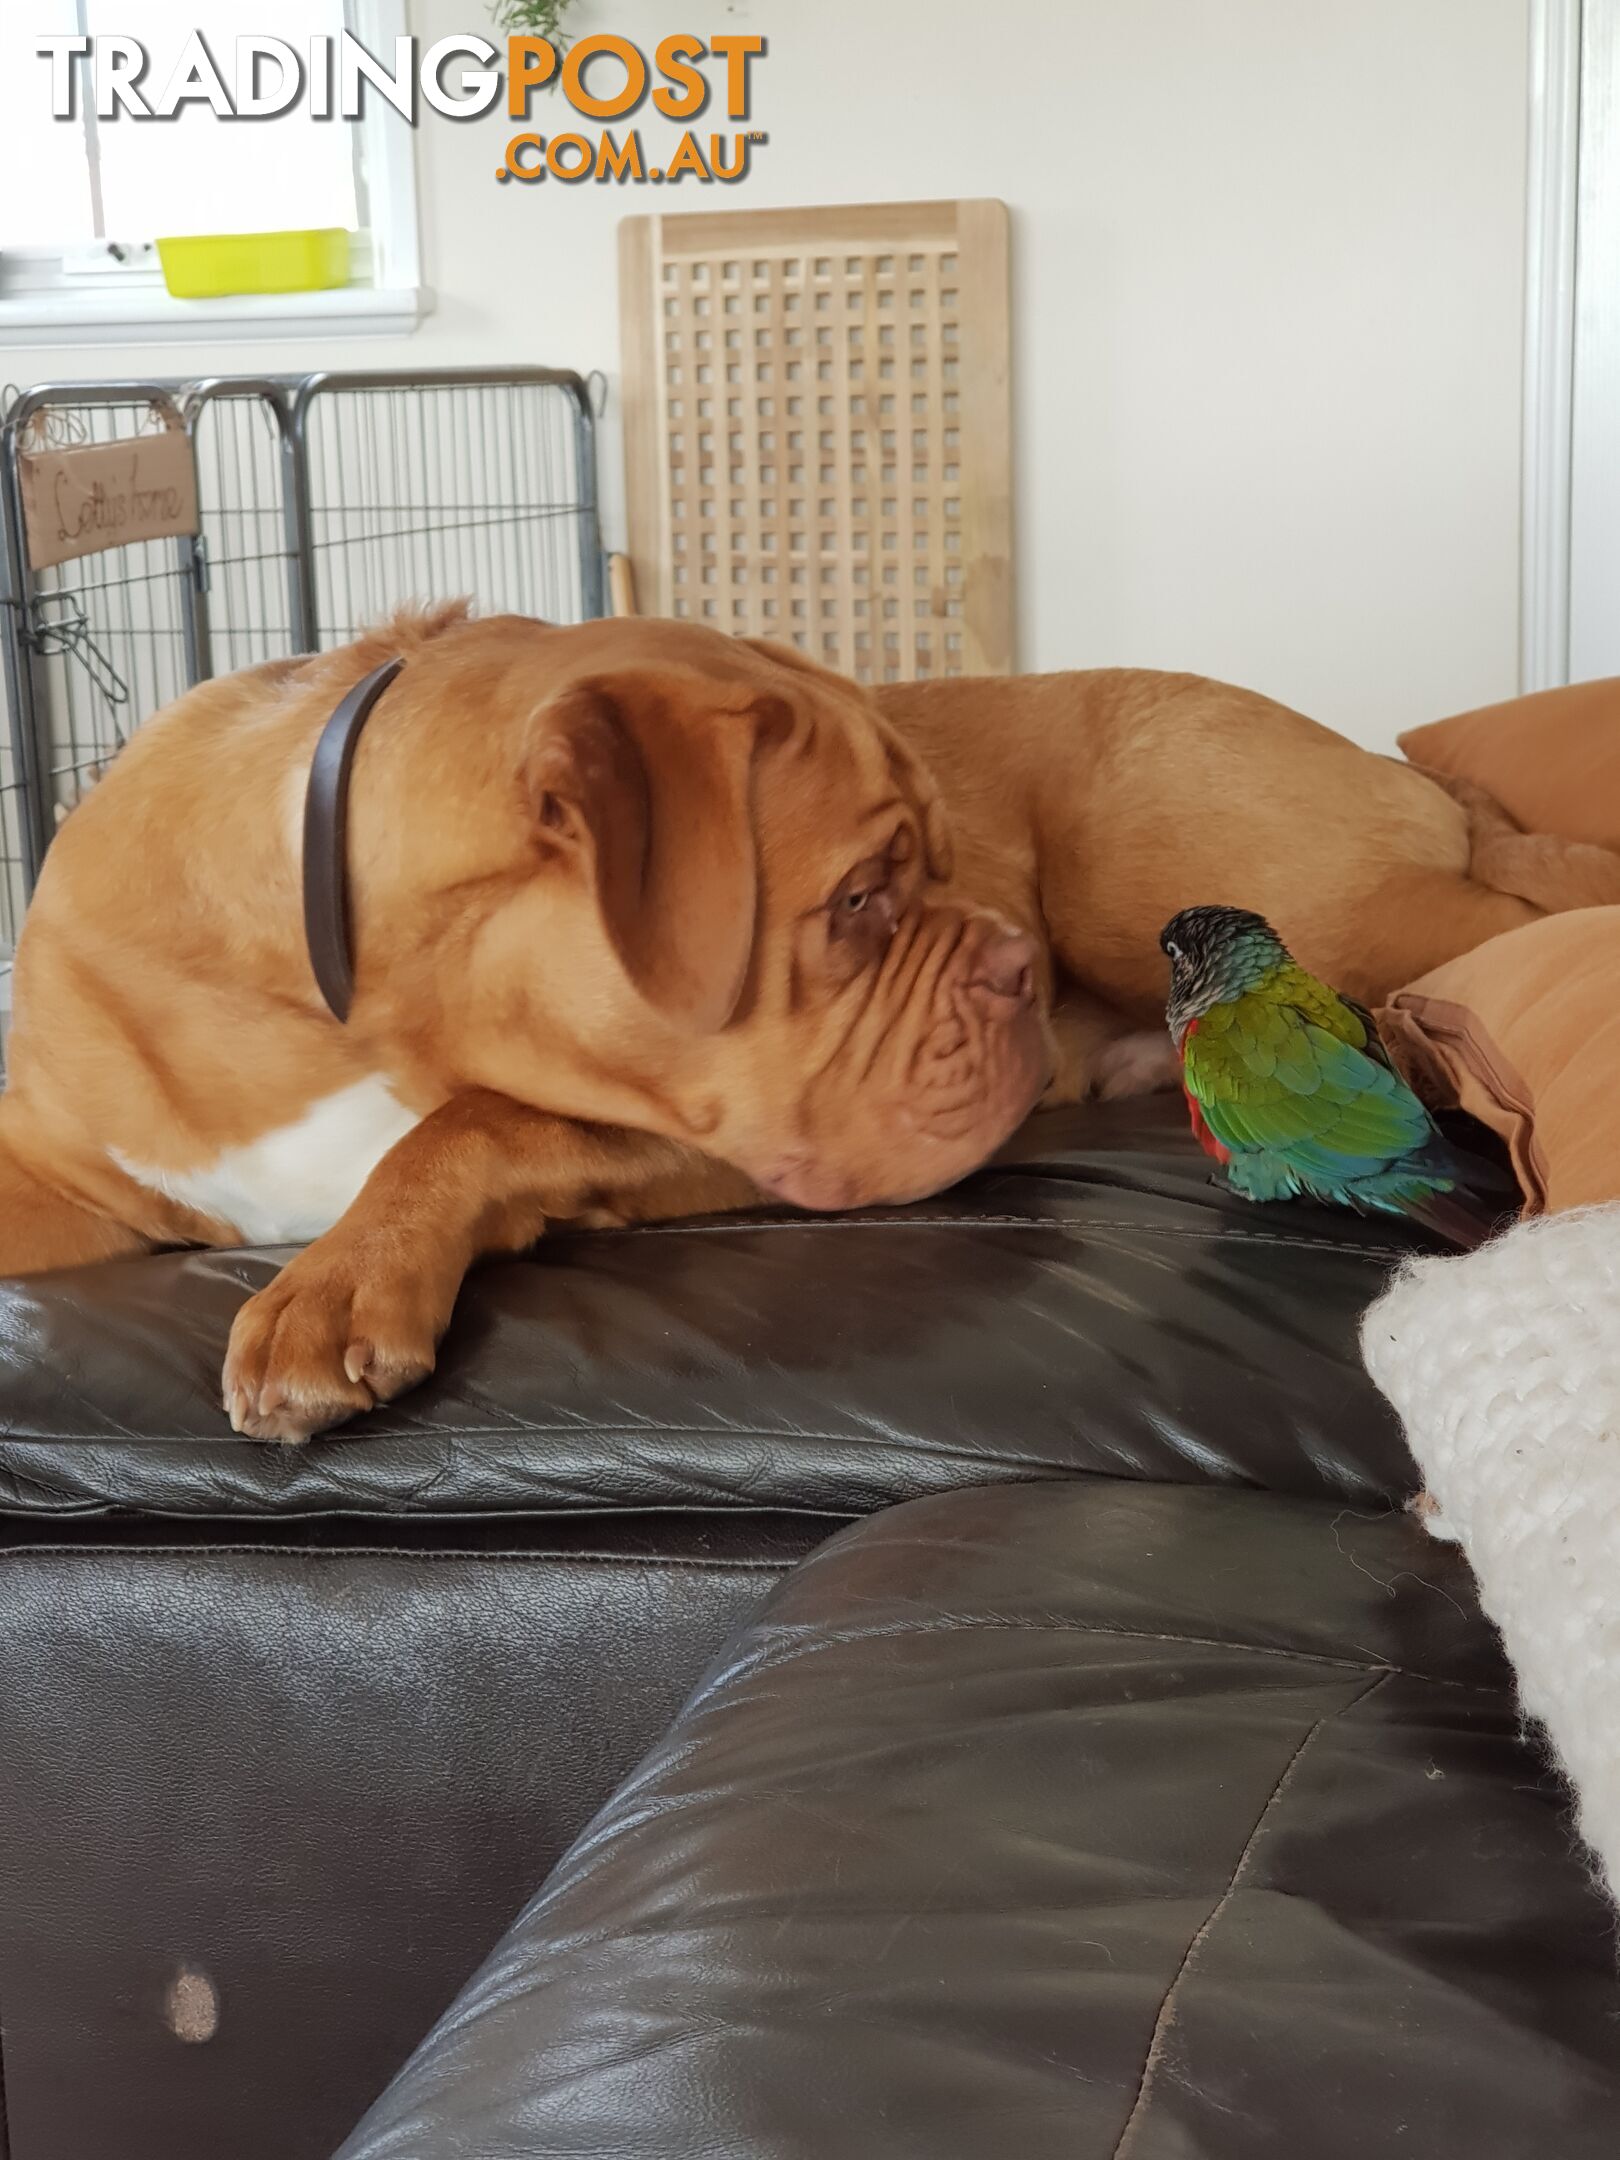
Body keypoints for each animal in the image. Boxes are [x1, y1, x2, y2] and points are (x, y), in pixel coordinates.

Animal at [3, 609, 1615, 1442]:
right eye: (859, 900)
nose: (1010, 963)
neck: (334, 981)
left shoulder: (679, 1137)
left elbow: (477, 1120)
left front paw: (339, 1281)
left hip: (1217, 883)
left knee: (1520, 904)